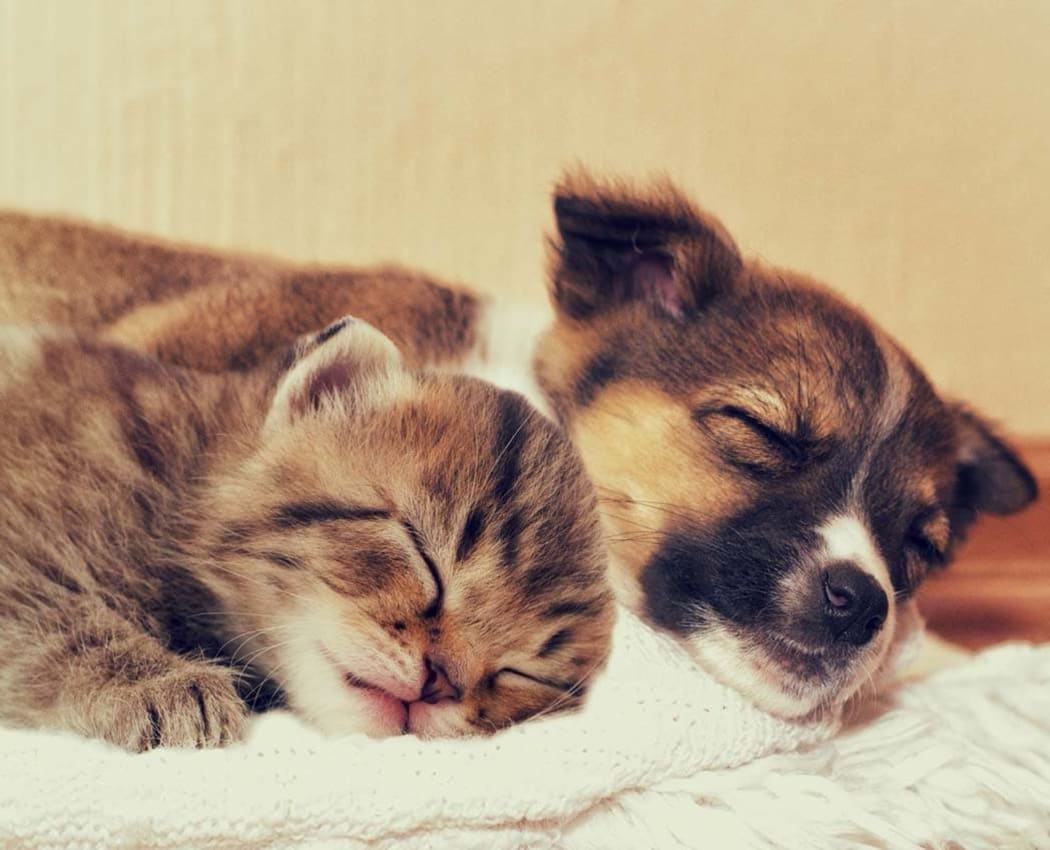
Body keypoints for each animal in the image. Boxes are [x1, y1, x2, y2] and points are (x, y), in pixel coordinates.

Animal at [0, 319, 613, 747]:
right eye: (423, 554)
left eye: (521, 670)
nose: (443, 682)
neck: (180, 467)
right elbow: (60, 614)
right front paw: (157, 683)